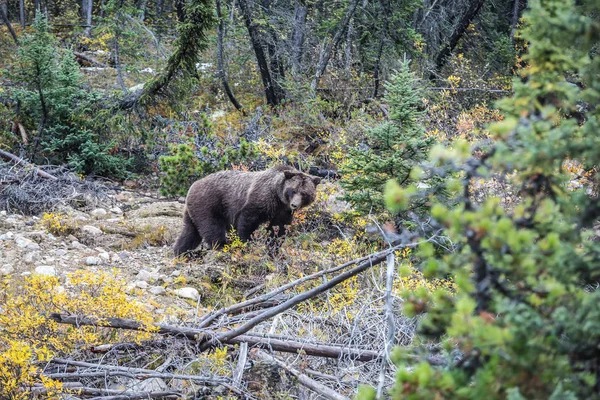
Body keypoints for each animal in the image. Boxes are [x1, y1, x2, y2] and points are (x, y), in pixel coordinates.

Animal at [173, 165, 322, 256]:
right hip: (209, 203)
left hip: (193, 211)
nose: (294, 205)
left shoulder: (282, 211)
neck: (279, 197)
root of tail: (193, 185)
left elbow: (279, 228)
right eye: (293, 190)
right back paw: (222, 245)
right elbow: (248, 221)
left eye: (304, 193)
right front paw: (247, 243)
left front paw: (274, 248)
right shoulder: (262, 199)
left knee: (190, 233)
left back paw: (180, 251)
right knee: (212, 226)